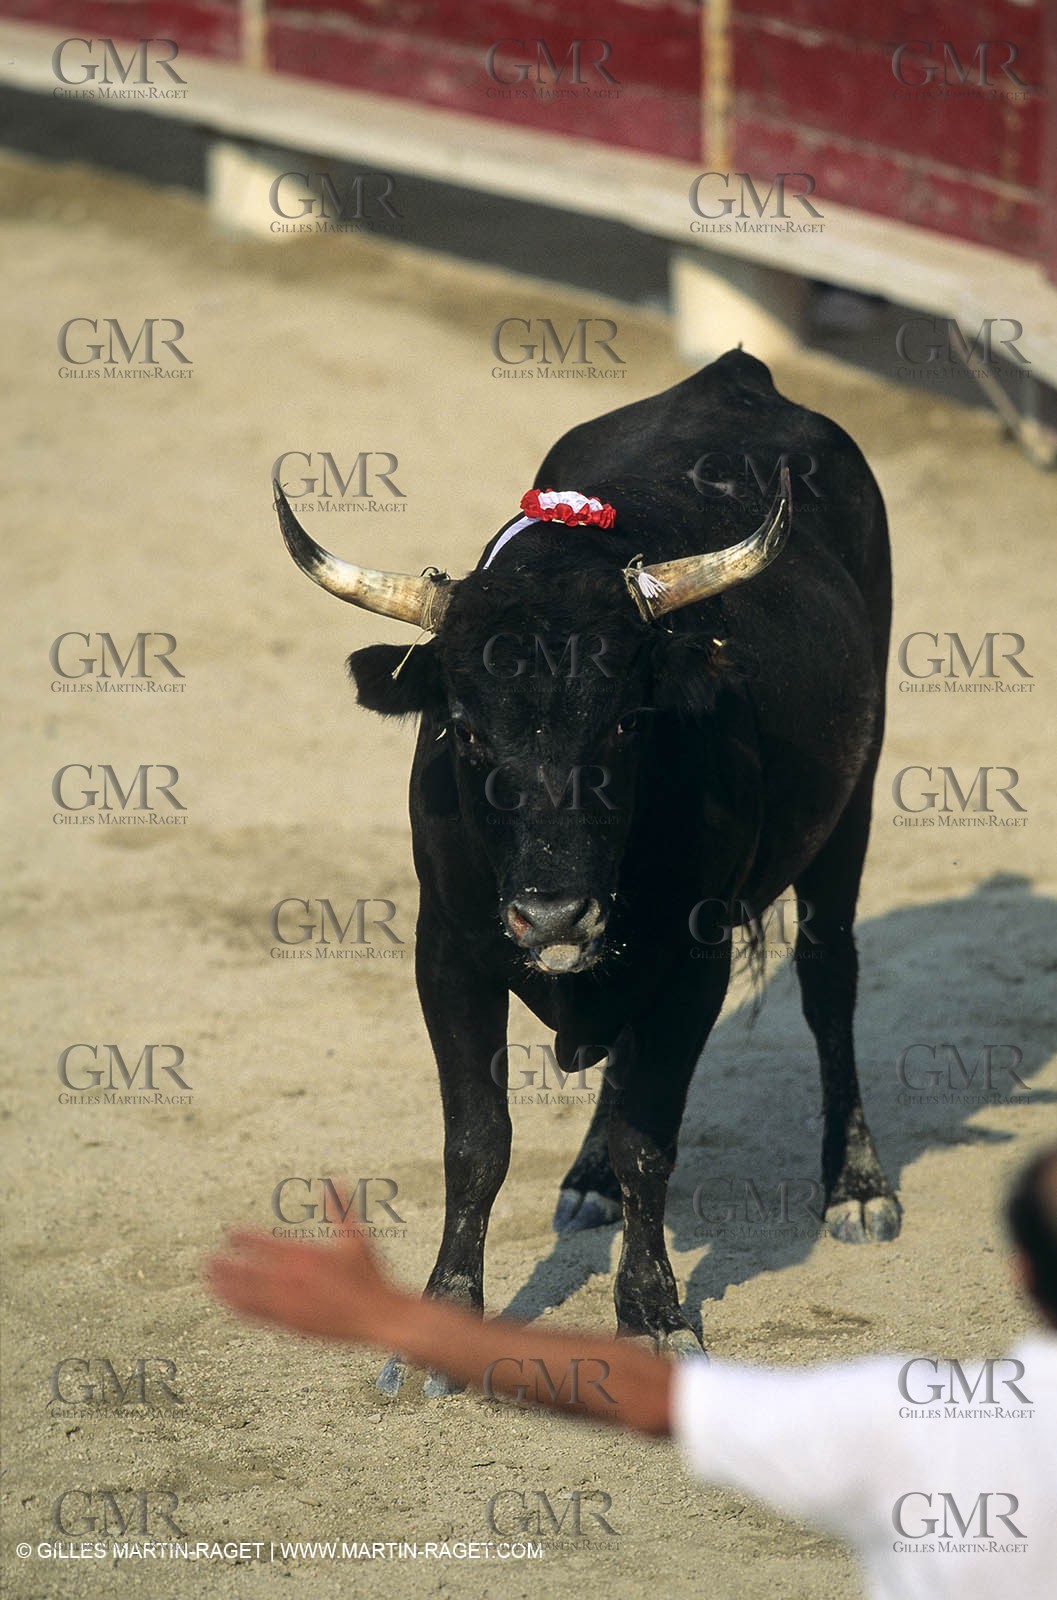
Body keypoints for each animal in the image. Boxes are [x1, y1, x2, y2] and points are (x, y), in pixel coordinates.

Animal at [272, 349, 901, 1392]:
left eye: (622, 723)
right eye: (465, 730)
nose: (555, 916)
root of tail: (736, 373)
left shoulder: (694, 959)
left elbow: (653, 1140)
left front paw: (651, 1315)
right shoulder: (448, 950)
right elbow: (477, 1140)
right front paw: (446, 1315)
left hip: (850, 810)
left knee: (828, 986)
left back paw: (856, 1184)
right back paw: (589, 1178)